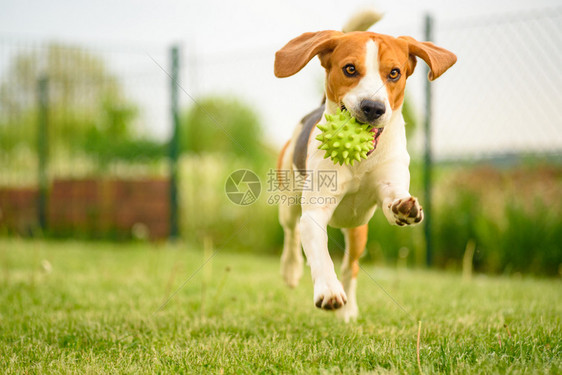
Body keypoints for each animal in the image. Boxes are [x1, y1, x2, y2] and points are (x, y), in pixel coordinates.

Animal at [274, 27, 456, 320]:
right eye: (350, 69)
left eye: (394, 73)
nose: (373, 107)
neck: (361, 160)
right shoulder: (314, 211)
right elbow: (320, 253)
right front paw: (329, 290)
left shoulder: (390, 184)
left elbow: (394, 201)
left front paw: (404, 209)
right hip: (288, 198)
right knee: (291, 233)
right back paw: (291, 270)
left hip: (358, 230)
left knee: (351, 266)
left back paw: (348, 312)